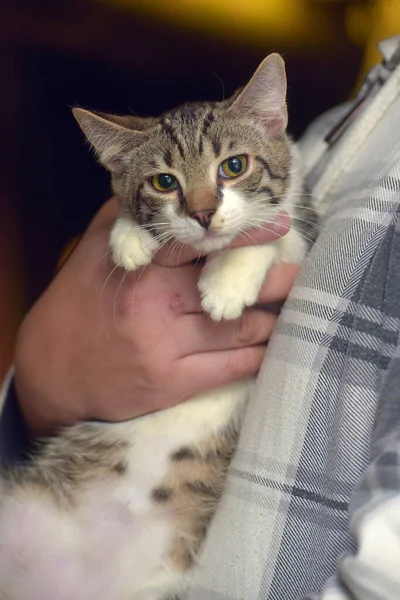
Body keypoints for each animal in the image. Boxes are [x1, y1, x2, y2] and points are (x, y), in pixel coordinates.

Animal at [0, 54, 312, 596]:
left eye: (234, 166)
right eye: (164, 182)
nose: (204, 213)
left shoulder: (300, 235)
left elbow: (276, 235)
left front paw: (228, 282)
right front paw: (128, 238)